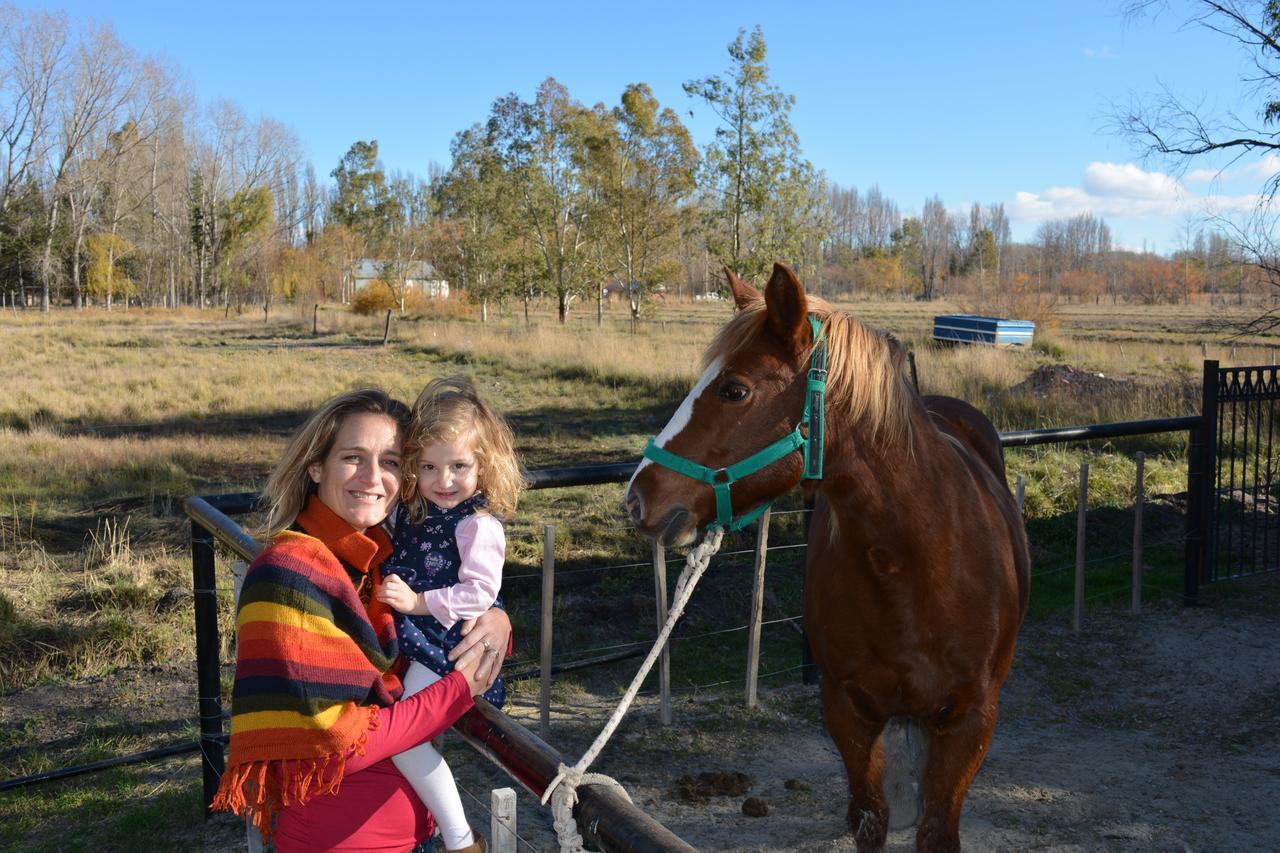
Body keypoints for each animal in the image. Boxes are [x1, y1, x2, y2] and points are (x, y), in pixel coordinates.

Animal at [622, 263, 1029, 850]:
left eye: (734, 390)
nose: (637, 498)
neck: (913, 568)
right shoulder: (846, 711)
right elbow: (870, 819)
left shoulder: (971, 721)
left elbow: (937, 829)